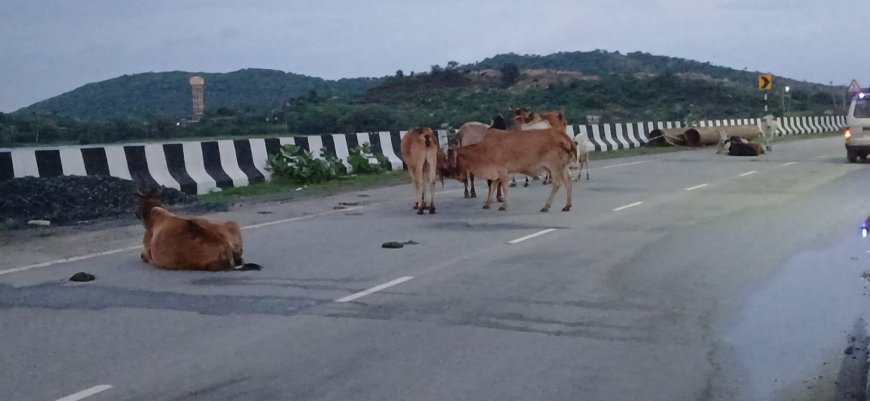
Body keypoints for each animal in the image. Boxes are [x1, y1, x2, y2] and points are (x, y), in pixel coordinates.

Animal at [450, 127, 580, 212]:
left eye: (452, 158)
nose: (457, 176)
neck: (485, 149)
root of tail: (563, 135)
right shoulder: (497, 173)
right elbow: (493, 187)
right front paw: (487, 204)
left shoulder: (502, 171)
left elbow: (504, 187)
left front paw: (504, 205)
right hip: (563, 167)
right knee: (568, 182)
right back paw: (567, 205)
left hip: (555, 167)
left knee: (557, 184)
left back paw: (546, 206)